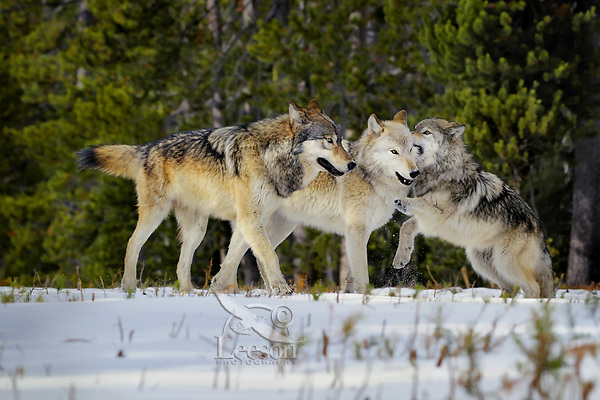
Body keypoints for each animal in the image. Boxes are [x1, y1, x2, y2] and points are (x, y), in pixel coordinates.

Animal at [77, 100, 354, 294]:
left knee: (181, 264)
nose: (352, 164)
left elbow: (233, 258)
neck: (269, 157)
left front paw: (219, 288)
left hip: (197, 230)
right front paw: (282, 289)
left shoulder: (248, 220)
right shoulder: (249, 218)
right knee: (132, 244)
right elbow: (269, 255)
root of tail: (147, 148)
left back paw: (188, 294)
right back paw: (129, 288)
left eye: (341, 140)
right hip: (155, 215)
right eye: (329, 140)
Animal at [213, 111, 420, 292]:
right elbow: (362, 275)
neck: (369, 177)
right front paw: (364, 298)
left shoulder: (358, 234)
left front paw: (348, 296)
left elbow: (350, 276)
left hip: (281, 227)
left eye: (410, 149)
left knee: (255, 259)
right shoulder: (356, 231)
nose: (415, 173)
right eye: (394, 151)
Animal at [394, 117, 552, 298]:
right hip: (481, 262)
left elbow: (420, 203)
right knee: (510, 288)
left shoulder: (437, 217)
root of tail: (540, 229)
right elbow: (406, 227)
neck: (441, 171)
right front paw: (401, 257)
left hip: (505, 261)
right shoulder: (427, 221)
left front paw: (402, 201)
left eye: (426, 132)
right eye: (414, 128)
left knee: (533, 287)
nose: (406, 134)